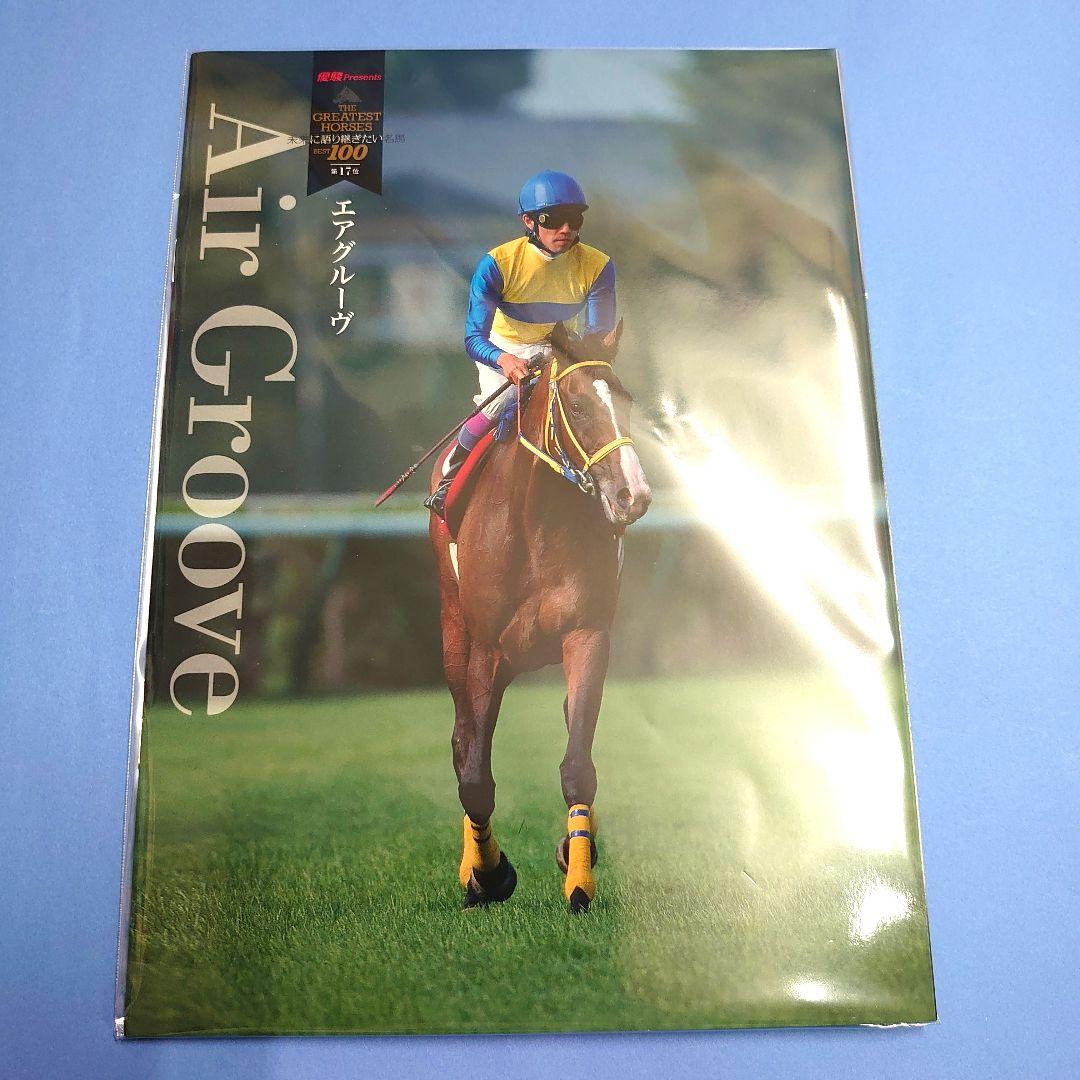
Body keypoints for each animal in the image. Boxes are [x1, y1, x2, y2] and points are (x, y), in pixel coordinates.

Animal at [427, 319, 652, 913]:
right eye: (576, 403)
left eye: (625, 400)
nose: (634, 495)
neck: (538, 524)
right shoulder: (486, 651)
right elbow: (475, 775)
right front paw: (488, 875)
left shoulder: (587, 635)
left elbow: (578, 766)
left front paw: (578, 874)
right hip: (454, 630)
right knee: (462, 742)